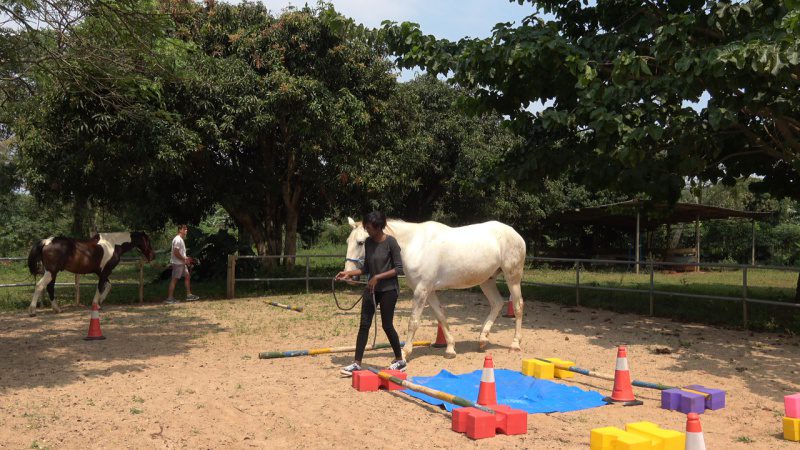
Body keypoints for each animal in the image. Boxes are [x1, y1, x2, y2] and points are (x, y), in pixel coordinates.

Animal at [27, 234, 155, 314]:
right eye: (148, 241)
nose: (152, 256)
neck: (113, 244)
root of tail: (47, 241)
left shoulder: (100, 272)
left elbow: (108, 285)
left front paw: (100, 301)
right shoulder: (105, 271)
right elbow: (100, 287)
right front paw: (96, 304)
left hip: (53, 273)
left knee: (50, 288)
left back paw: (57, 309)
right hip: (51, 272)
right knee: (40, 286)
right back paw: (32, 311)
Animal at [342, 216, 524, 360]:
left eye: (360, 243)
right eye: (347, 242)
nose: (348, 275)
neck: (414, 245)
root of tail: (516, 235)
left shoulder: (421, 291)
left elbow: (413, 322)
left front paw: (405, 353)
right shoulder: (429, 292)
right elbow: (441, 316)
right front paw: (450, 348)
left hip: (512, 278)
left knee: (517, 306)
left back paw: (515, 344)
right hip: (487, 280)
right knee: (497, 303)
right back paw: (482, 339)